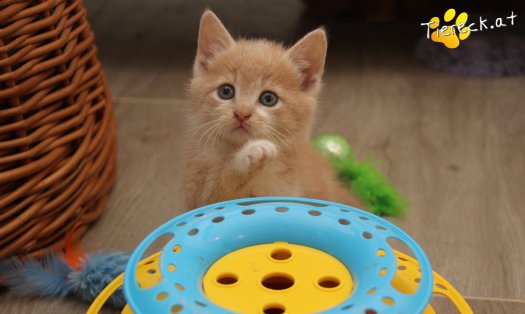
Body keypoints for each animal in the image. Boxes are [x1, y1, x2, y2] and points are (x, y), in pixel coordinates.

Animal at [183, 11, 360, 210]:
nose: (242, 113)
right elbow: (219, 191)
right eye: (226, 91)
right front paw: (249, 155)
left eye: (268, 99)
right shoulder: (197, 192)